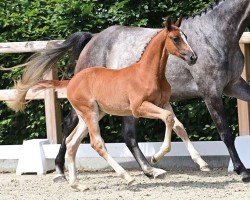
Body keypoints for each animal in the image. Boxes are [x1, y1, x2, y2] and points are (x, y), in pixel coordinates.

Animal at [36, 18, 196, 190]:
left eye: (186, 36)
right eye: (175, 38)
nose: (193, 57)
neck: (148, 74)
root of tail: (71, 81)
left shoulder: (164, 103)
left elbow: (177, 124)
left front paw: (200, 162)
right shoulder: (138, 108)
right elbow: (167, 118)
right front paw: (155, 158)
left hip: (92, 115)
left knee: (72, 142)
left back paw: (77, 185)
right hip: (90, 113)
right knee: (97, 143)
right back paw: (127, 177)